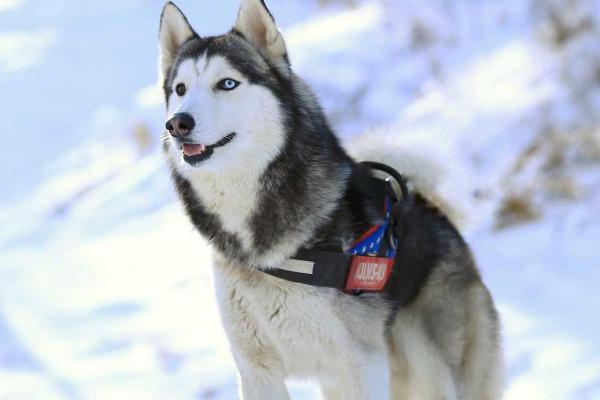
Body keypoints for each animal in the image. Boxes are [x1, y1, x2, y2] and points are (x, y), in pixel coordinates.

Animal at [158, 1, 502, 398]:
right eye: (180, 88)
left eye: (227, 83)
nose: (177, 124)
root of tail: (433, 210)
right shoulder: (257, 369)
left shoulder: (361, 365)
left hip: (433, 372)